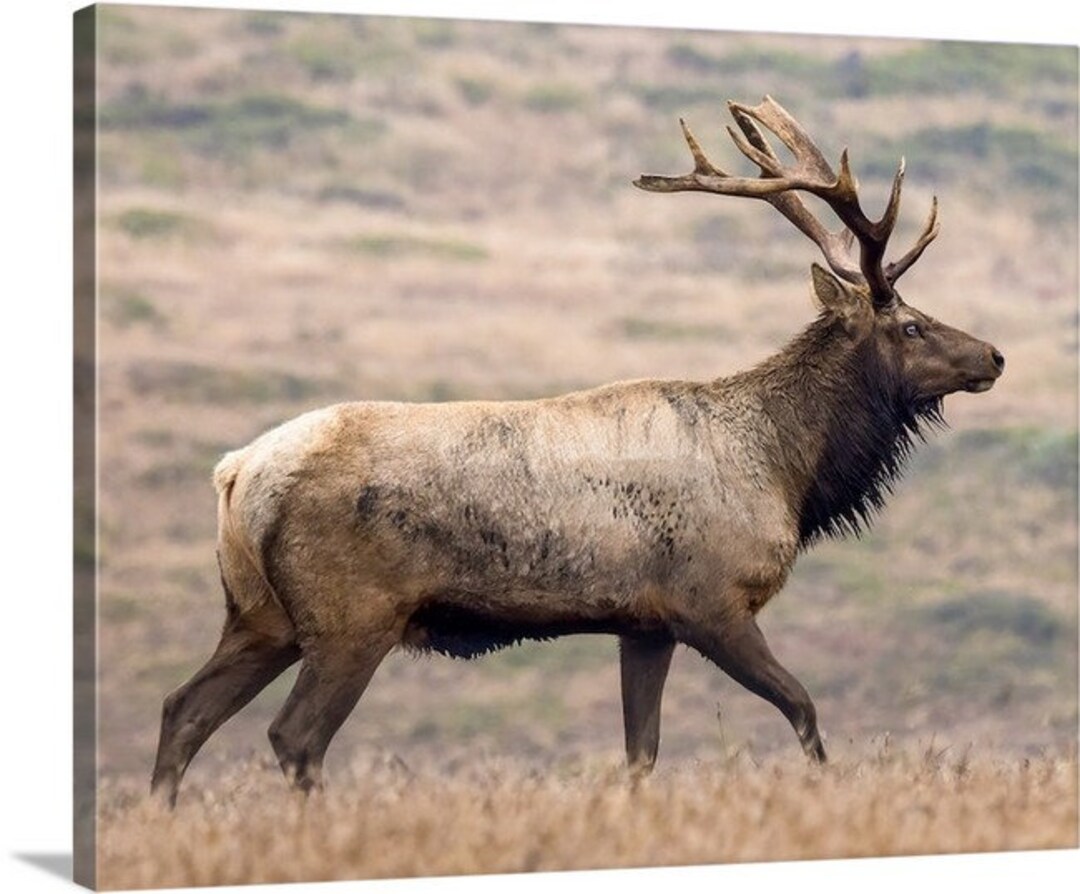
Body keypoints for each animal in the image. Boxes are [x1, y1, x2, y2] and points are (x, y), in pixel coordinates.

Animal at [151, 96, 1004, 805]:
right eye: (911, 325)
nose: (993, 355)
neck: (787, 472)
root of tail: (237, 475)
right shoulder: (711, 600)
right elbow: (802, 707)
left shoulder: (645, 623)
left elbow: (641, 754)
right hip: (350, 615)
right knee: (294, 736)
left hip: (260, 614)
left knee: (183, 709)